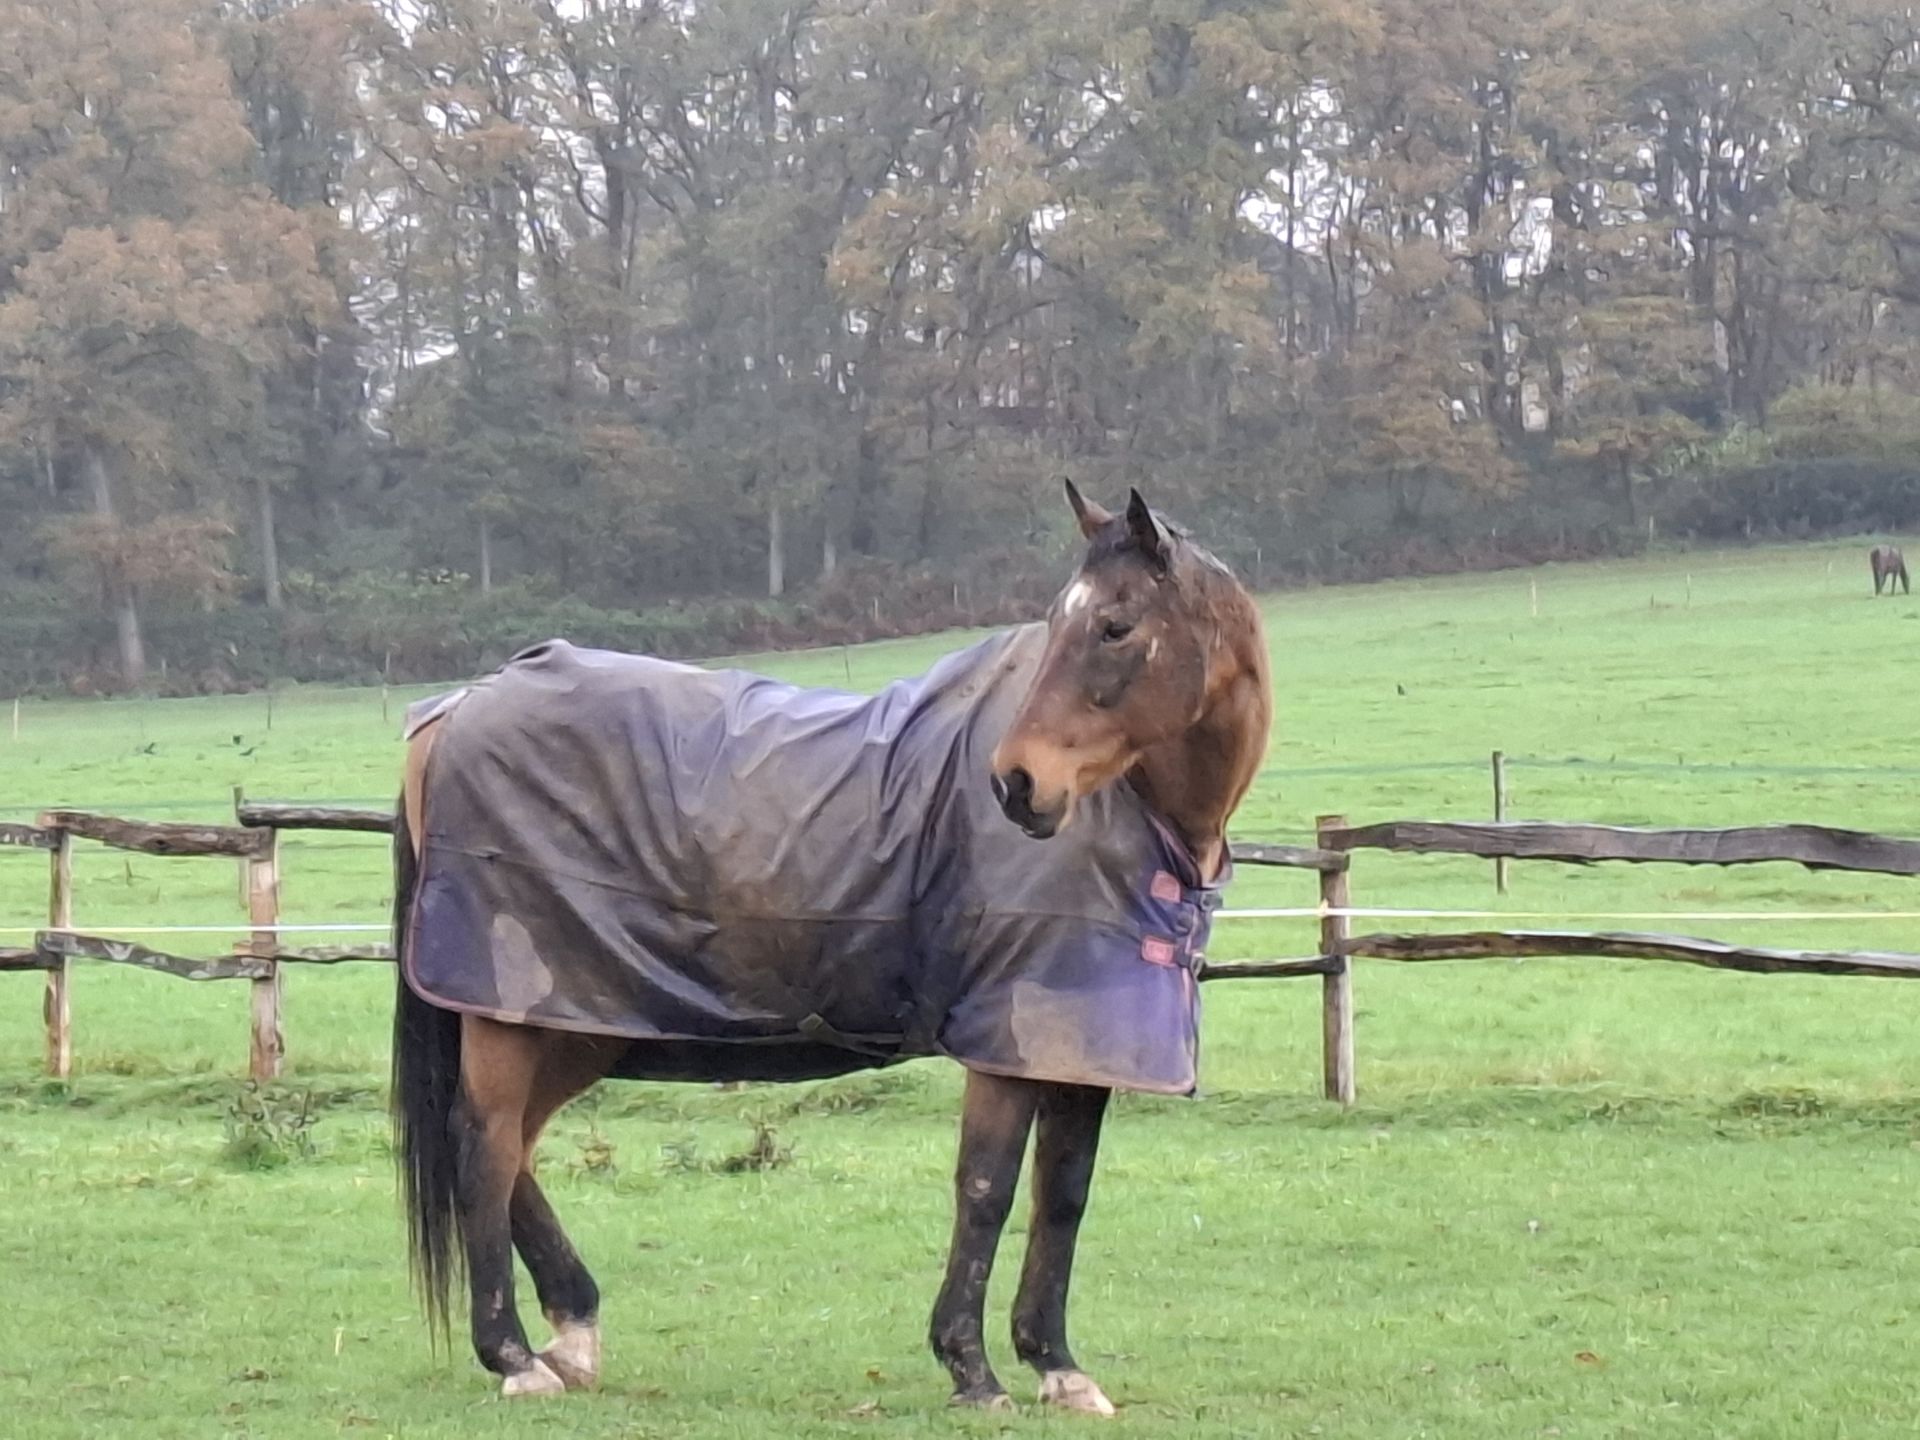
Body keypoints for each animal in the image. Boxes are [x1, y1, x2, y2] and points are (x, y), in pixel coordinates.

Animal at [388, 481, 1272, 1413]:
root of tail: (456, 708)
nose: (1017, 784)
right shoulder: (1005, 1044)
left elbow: (1061, 1196)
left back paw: (572, 1334)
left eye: (1113, 625)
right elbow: (986, 1189)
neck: (1139, 817)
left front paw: (1057, 1367)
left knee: (513, 1148)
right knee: (484, 1146)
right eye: (1062, 624)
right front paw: (972, 1369)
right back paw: (515, 1357)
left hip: (573, 1022)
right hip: (512, 1016)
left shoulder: (1079, 1047)